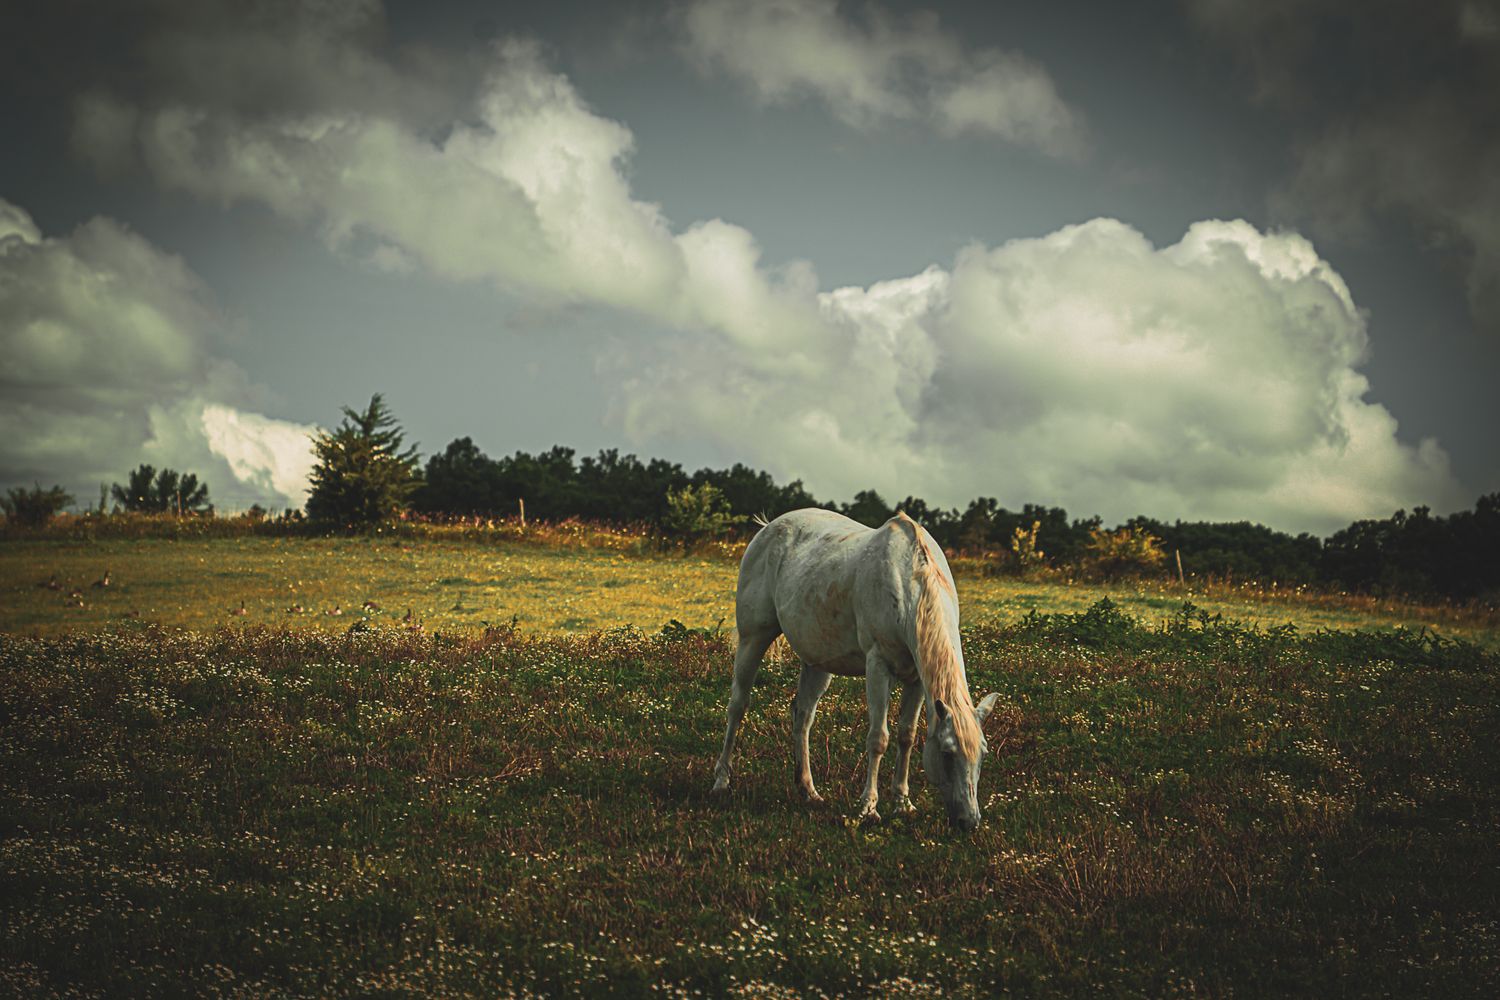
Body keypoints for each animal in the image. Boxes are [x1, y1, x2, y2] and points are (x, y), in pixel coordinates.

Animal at [711, 508, 1000, 831]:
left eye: (983, 753)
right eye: (948, 752)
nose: (969, 821)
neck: (908, 580)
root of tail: (767, 527)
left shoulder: (915, 679)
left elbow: (907, 736)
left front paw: (903, 803)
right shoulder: (878, 666)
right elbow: (878, 738)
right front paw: (868, 808)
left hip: (818, 662)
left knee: (803, 716)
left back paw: (808, 790)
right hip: (753, 638)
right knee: (738, 706)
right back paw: (721, 782)